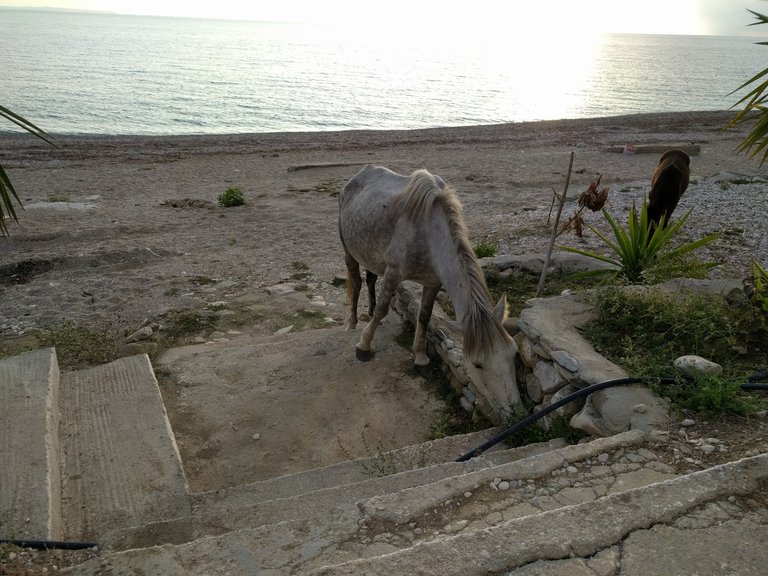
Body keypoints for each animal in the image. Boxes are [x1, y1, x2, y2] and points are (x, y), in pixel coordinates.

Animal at [340, 164, 524, 416]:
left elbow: (424, 317)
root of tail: (358, 175)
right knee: (357, 284)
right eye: (478, 364)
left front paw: (420, 358)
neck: (428, 233)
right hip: (349, 251)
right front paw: (364, 346)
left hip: (371, 256)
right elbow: (383, 309)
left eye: (513, 353)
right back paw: (352, 323)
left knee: (369, 281)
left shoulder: (433, 283)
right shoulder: (393, 273)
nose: (516, 412)